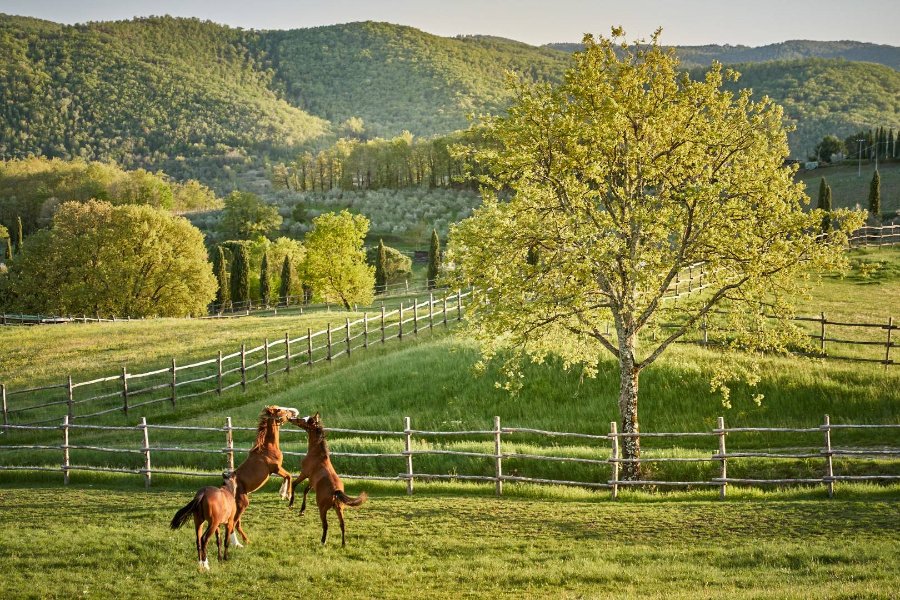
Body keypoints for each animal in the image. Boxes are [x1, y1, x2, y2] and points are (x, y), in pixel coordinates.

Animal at [229, 404, 298, 548]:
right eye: (279, 410)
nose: (295, 411)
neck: (267, 447)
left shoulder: (276, 470)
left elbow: (286, 477)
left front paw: (282, 493)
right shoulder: (276, 468)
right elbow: (289, 476)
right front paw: (287, 495)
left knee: (236, 524)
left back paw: (247, 541)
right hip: (243, 504)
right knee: (233, 523)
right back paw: (237, 544)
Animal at [292, 414, 370, 548]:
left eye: (305, 420)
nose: (292, 419)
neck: (317, 454)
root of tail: (336, 491)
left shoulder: (304, 473)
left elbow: (294, 484)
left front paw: (291, 503)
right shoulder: (312, 481)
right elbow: (306, 490)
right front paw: (302, 510)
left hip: (322, 509)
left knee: (326, 525)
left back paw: (323, 541)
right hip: (339, 509)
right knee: (342, 525)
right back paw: (343, 544)